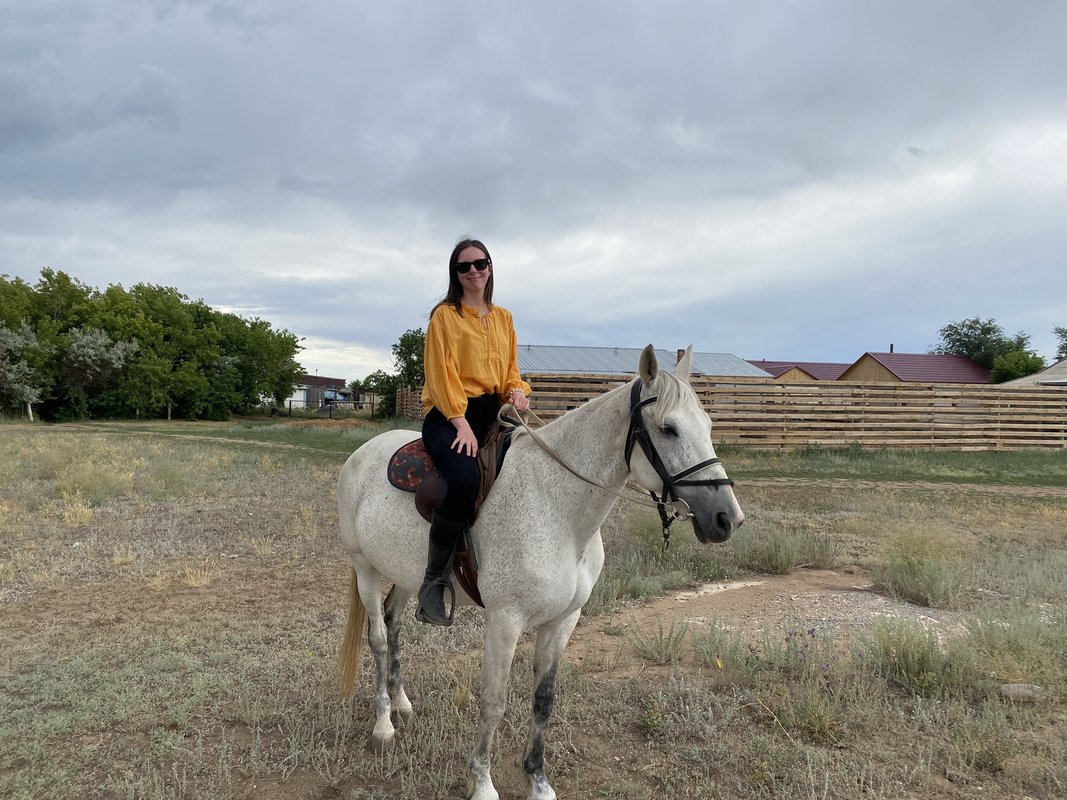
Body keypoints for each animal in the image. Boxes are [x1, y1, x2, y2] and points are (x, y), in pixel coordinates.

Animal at [336, 345, 744, 800]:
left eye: (708, 425)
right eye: (669, 429)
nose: (727, 518)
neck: (556, 505)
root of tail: (362, 454)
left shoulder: (564, 620)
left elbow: (543, 699)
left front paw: (538, 780)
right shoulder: (505, 621)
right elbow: (493, 702)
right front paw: (482, 783)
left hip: (407, 576)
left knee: (395, 623)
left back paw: (402, 703)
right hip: (365, 569)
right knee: (378, 637)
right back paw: (383, 725)